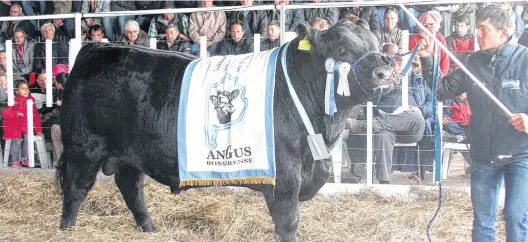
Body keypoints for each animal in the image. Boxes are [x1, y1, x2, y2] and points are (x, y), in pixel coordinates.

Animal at [57, 21, 396, 242]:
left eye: (376, 46)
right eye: (342, 48)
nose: (385, 70)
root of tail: (96, 47)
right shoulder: (285, 176)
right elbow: (289, 222)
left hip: (131, 154)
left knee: (131, 187)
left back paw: (149, 228)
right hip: (83, 147)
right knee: (75, 189)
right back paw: (67, 230)